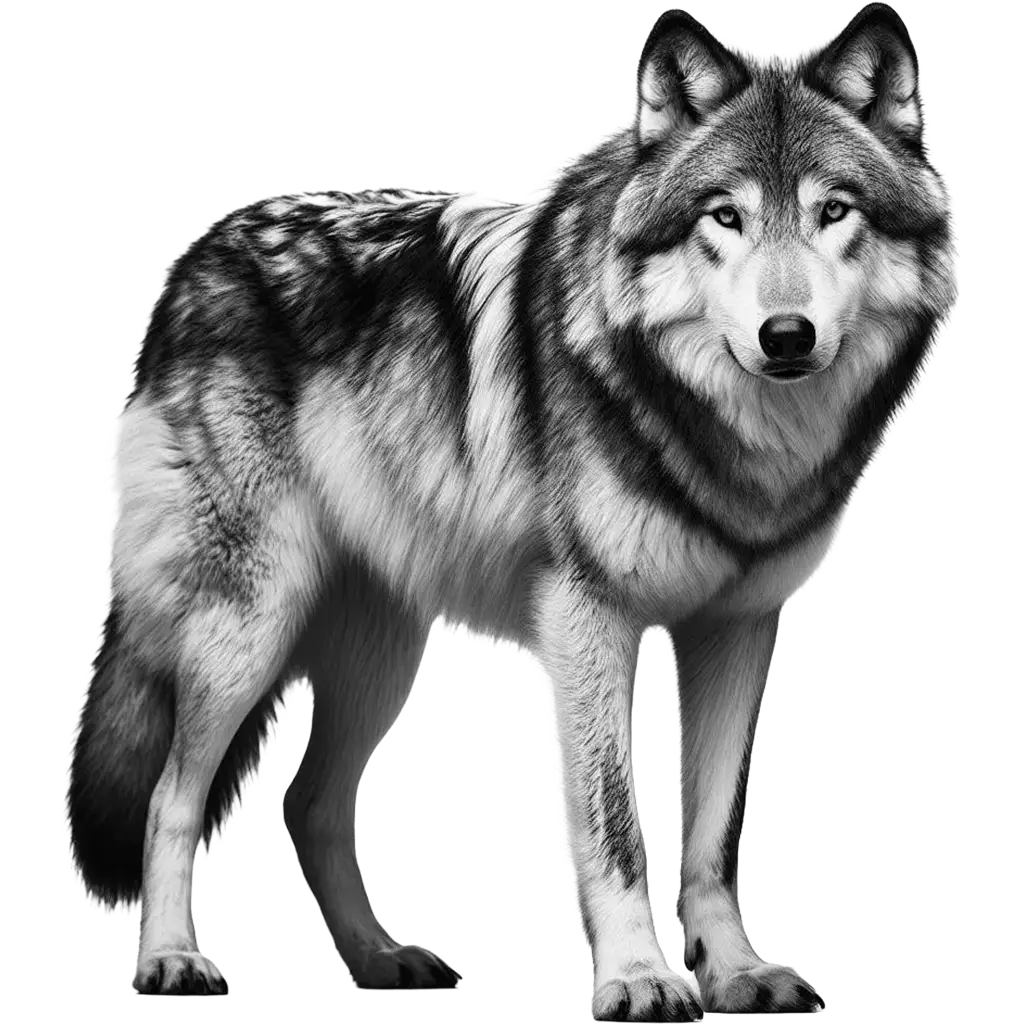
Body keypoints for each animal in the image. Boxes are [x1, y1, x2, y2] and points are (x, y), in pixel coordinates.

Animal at [66, 2, 958, 1019]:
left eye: (834, 211)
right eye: (723, 216)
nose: (786, 336)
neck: (731, 443)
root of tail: (194, 257)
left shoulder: (738, 626)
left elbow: (714, 839)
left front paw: (735, 973)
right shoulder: (587, 618)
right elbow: (616, 823)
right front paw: (638, 979)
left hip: (380, 659)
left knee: (309, 803)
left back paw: (381, 961)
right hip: (250, 627)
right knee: (172, 796)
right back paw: (171, 961)